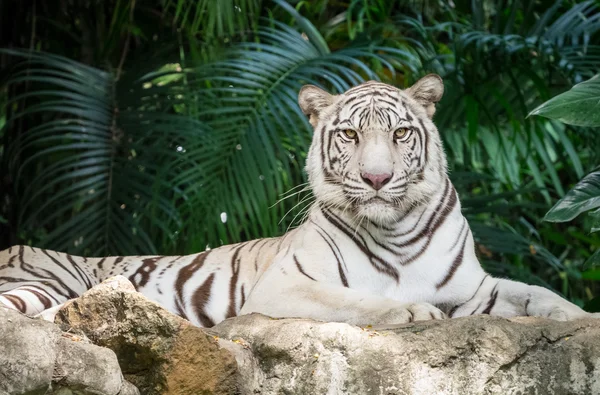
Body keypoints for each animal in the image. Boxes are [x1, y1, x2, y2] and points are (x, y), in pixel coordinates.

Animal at [0, 75, 592, 328]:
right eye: (350, 135)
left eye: (400, 133)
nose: (377, 179)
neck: (397, 230)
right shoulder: (285, 285)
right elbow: (358, 299)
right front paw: (410, 309)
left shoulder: (474, 288)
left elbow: (536, 293)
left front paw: (579, 316)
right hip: (40, 283)